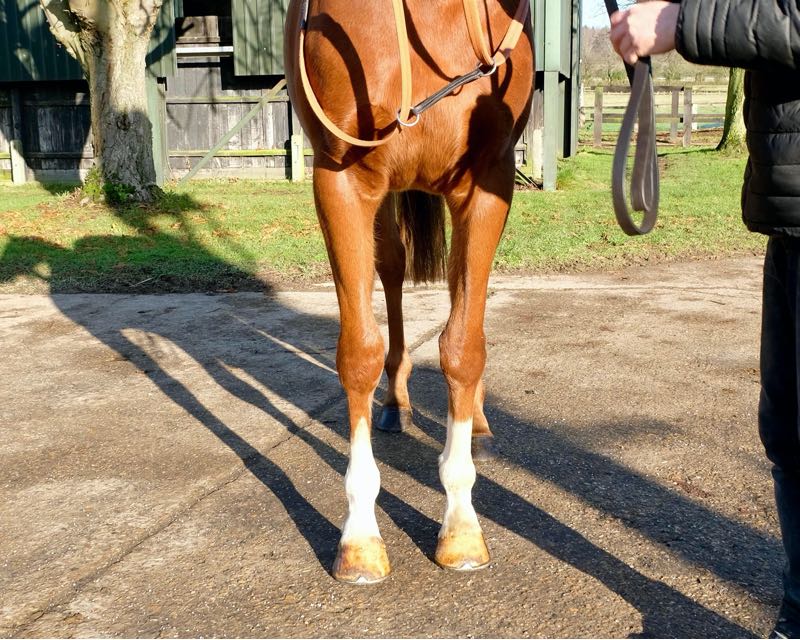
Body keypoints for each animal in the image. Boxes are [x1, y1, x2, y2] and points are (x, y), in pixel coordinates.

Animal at [284, 0, 534, 583]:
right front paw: (359, 537)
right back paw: (396, 403)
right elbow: (359, 354)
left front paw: (461, 525)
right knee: (394, 272)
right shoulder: (341, 181)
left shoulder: (488, 181)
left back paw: (478, 418)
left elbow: (462, 347)